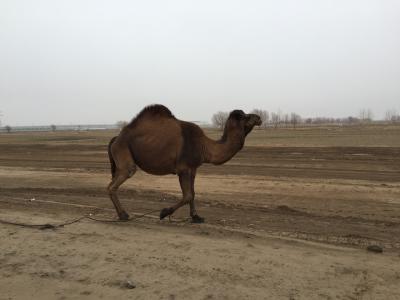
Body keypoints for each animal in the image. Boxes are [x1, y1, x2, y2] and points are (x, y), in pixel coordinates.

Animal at [108, 104, 260, 221]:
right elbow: (187, 195)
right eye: (245, 116)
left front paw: (196, 217)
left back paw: (122, 214)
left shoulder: (193, 169)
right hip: (123, 151)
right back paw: (123, 215)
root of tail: (116, 138)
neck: (205, 146)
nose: (258, 117)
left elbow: (193, 193)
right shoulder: (183, 168)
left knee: (112, 184)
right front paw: (164, 213)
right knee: (117, 181)